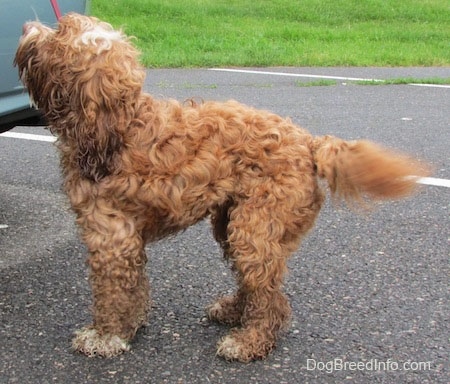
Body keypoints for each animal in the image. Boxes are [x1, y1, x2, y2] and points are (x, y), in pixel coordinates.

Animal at [14, 13, 428, 362]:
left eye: (61, 31)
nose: (27, 27)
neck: (118, 129)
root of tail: (310, 143)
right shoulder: (127, 241)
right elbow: (134, 289)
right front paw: (132, 325)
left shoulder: (111, 240)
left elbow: (111, 295)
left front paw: (106, 336)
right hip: (233, 223)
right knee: (256, 286)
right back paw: (232, 311)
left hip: (253, 229)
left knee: (271, 300)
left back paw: (248, 342)